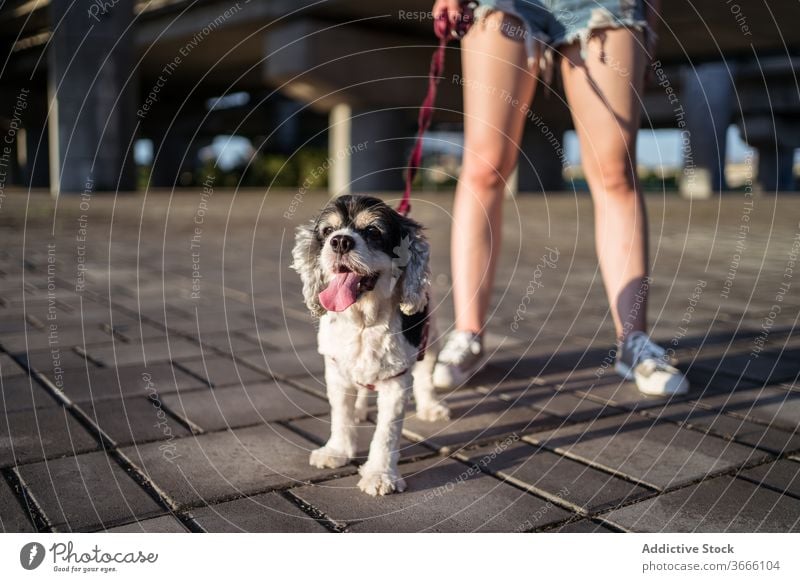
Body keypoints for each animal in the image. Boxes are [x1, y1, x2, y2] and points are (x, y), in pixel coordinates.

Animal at [290, 196, 450, 498]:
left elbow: (386, 433)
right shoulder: (336, 373)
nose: (340, 241)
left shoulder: (396, 381)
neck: (363, 322)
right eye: (328, 231)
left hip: (432, 337)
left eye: (373, 232)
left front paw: (380, 476)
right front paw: (336, 451)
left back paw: (430, 407)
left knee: (425, 376)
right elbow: (340, 416)